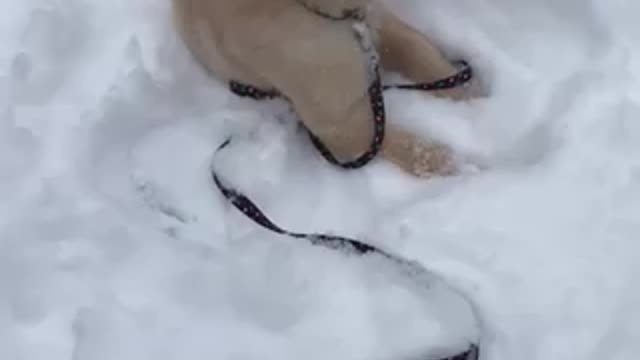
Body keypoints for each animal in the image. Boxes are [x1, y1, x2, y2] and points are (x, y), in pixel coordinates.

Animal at [170, 0, 476, 177]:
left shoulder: (375, 24)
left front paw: (471, 97)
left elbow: (418, 51)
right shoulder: (340, 125)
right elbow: (403, 144)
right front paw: (456, 165)